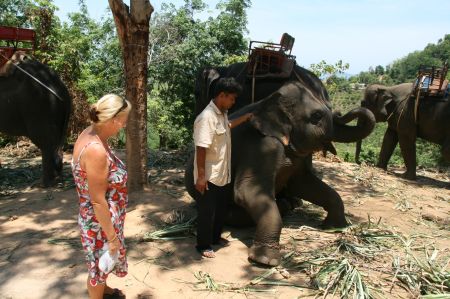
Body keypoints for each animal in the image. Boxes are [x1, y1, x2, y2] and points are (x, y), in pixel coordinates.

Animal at [184, 62, 376, 266]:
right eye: (316, 116)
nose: (340, 112)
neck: (271, 102)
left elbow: (304, 183)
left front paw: (336, 228)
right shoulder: (262, 147)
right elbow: (246, 191)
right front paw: (265, 261)